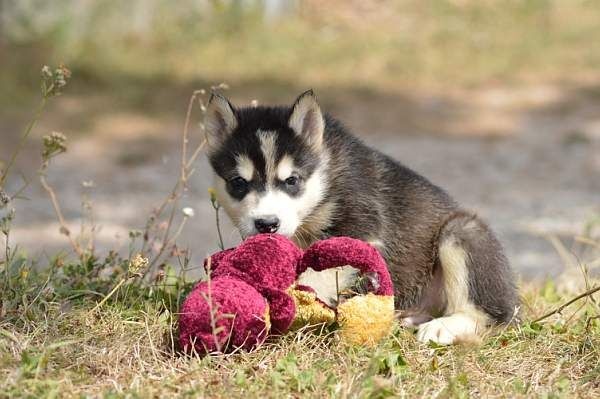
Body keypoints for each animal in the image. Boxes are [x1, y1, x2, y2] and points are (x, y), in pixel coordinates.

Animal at [204, 90, 516, 344]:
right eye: (238, 183)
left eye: (292, 180)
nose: (267, 224)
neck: (325, 176)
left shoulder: (361, 226)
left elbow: (318, 273)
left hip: (461, 232)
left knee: (491, 313)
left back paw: (445, 326)